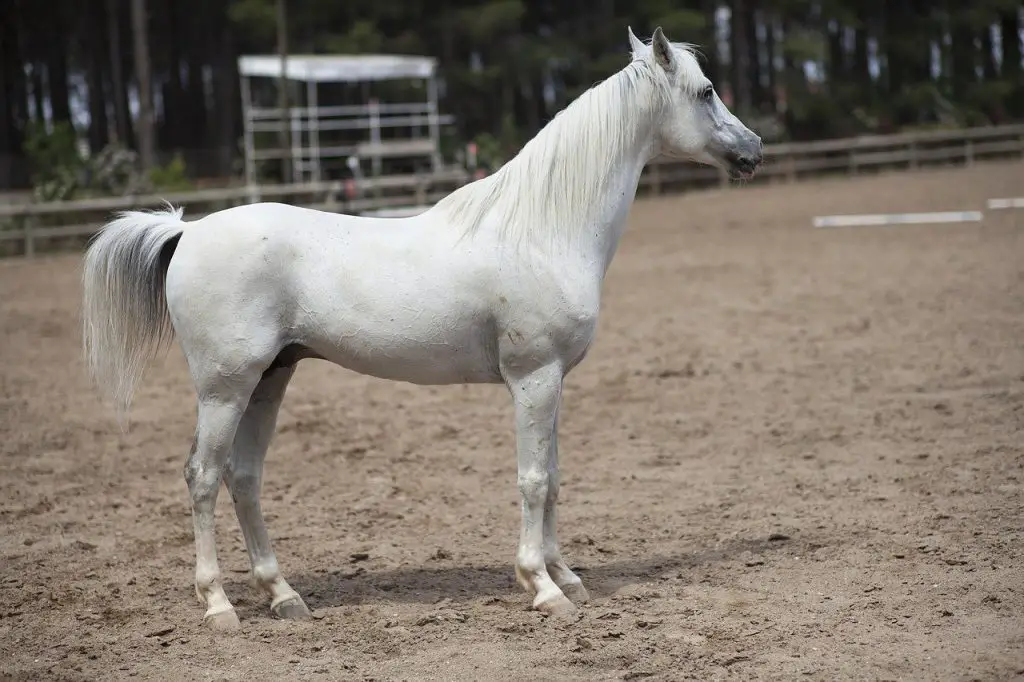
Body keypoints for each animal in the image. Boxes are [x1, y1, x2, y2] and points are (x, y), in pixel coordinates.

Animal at [81, 27, 761, 630]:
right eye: (706, 91)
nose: (753, 151)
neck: (542, 229)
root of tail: (188, 231)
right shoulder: (534, 379)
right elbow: (534, 480)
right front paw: (541, 587)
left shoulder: (554, 382)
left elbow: (555, 478)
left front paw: (567, 576)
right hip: (225, 388)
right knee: (202, 478)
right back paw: (219, 605)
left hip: (268, 381)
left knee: (242, 477)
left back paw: (283, 596)